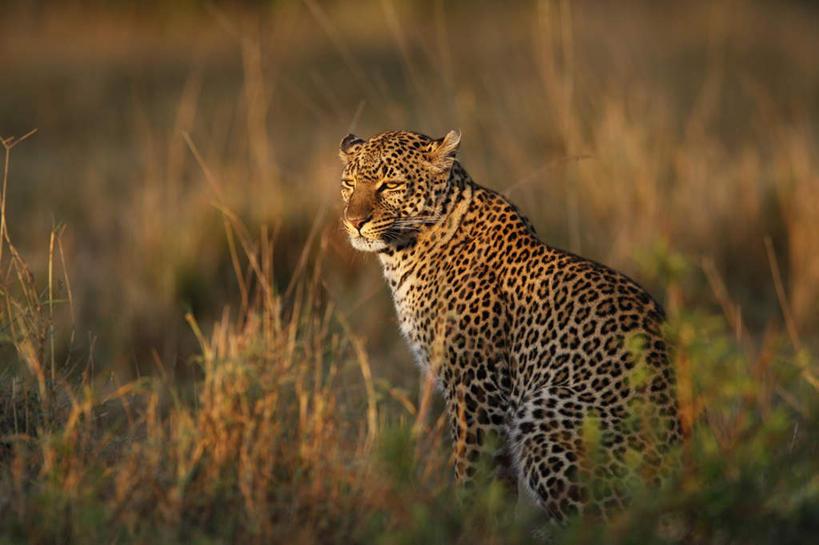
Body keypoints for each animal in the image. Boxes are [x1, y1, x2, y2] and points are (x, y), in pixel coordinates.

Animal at [336, 130, 684, 520]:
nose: (354, 221)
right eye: (349, 184)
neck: (406, 253)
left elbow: (475, 468)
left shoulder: (475, 385)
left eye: (391, 184)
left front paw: (472, 520)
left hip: (544, 408)